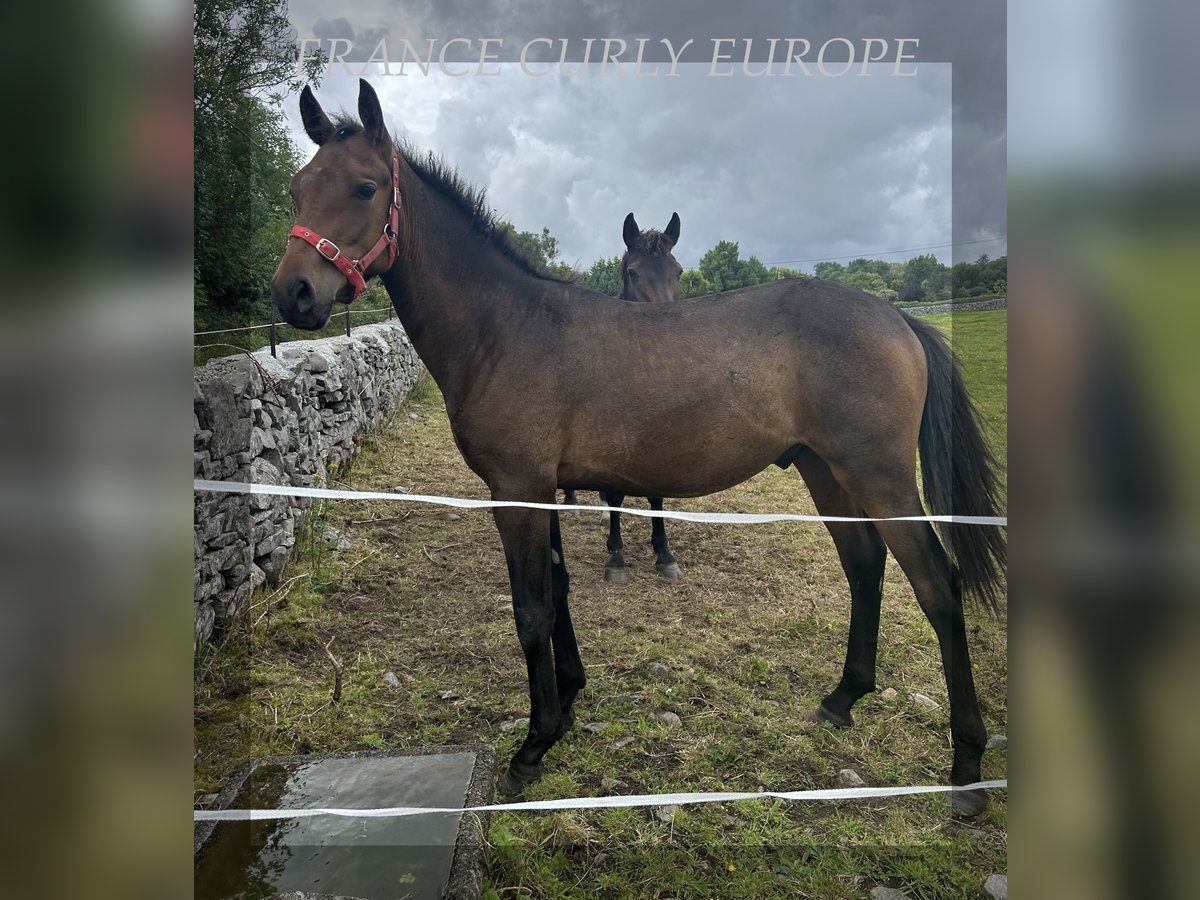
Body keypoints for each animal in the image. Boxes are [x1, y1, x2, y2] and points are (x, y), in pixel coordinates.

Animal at [270, 82, 1003, 816]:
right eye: (297, 189)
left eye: (365, 188)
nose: (293, 293)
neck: (506, 329)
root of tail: (895, 316)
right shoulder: (545, 489)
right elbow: (560, 591)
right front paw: (567, 703)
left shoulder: (517, 490)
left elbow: (531, 609)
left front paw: (532, 747)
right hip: (826, 471)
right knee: (865, 566)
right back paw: (842, 699)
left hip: (879, 477)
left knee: (937, 586)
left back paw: (966, 768)